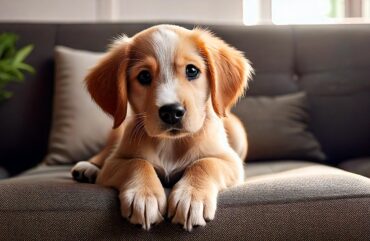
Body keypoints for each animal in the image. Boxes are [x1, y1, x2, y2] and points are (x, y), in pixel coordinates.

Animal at [71, 25, 253, 232]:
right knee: (104, 153)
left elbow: (205, 163)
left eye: (192, 70)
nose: (172, 112)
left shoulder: (230, 161)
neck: (170, 144)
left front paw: (191, 197)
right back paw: (88, 168)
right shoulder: (115, 162)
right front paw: (144, 196)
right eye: (144, 76)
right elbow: (137, 162)